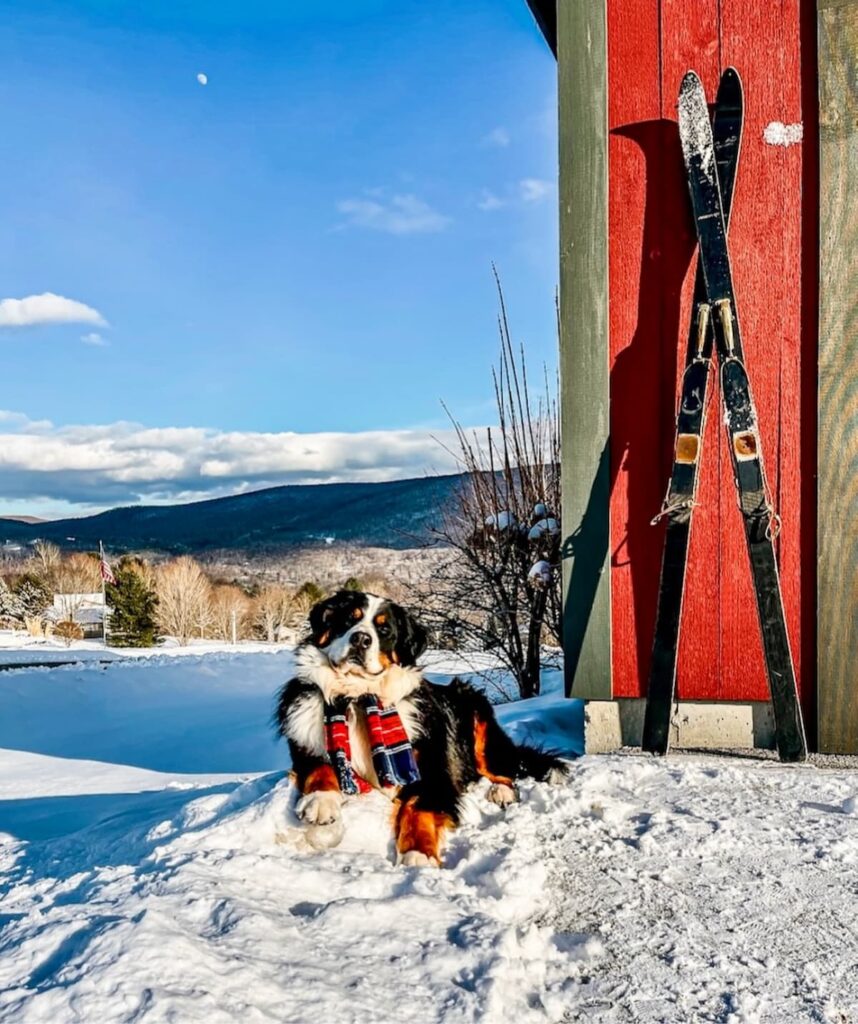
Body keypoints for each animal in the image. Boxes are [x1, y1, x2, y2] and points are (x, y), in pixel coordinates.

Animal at [276, 589, 569, 868]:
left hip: (477, 716)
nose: (360, 639)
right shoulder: (305, 740)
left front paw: (418, 854)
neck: (360, 698)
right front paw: (320, 802)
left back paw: (502, 791)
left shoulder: (433, 771)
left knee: (502, 769)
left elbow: (418, 809)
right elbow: (320, 767)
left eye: (384, 630)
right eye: (349, 618)